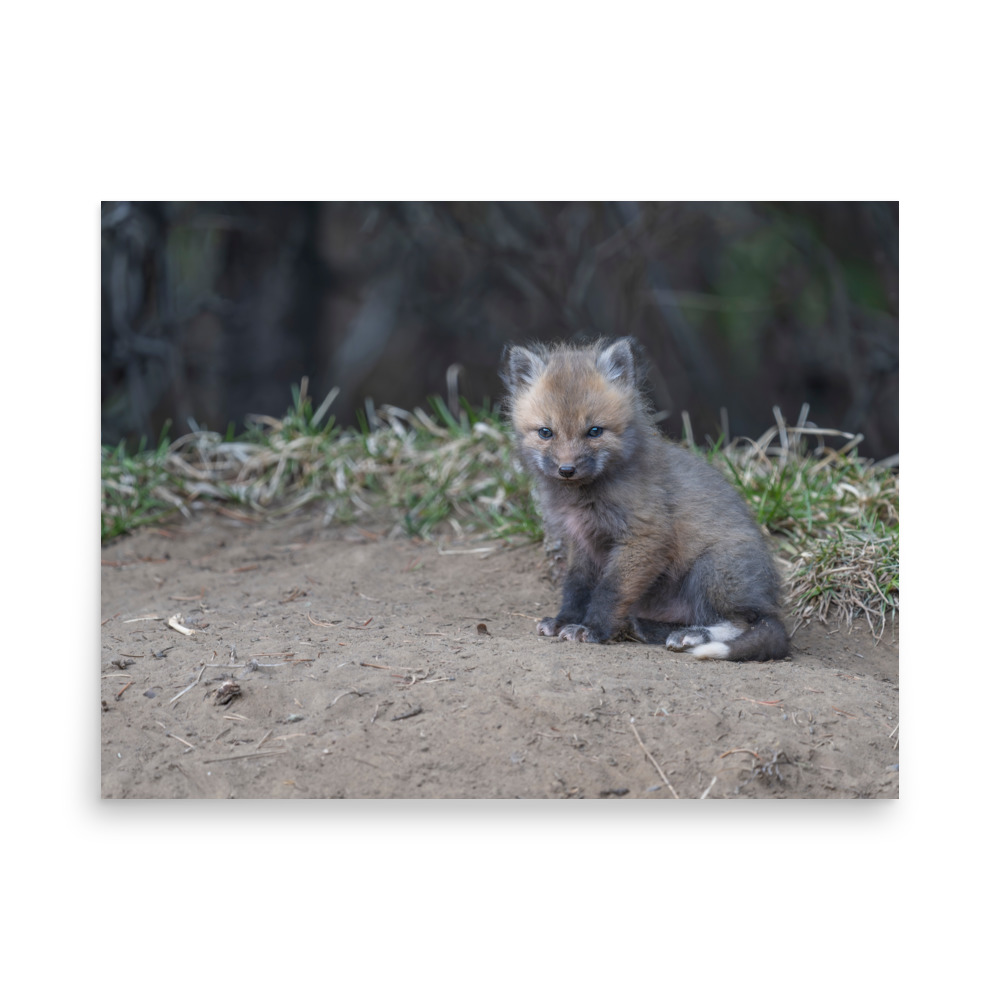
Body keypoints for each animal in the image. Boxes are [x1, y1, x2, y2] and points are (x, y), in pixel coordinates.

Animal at [501, 337, 789, 662]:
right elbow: (576, 587)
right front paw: (565, 620)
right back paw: (647, 628)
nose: (567, 469)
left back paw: (692, 635)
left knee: (742, 622)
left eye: (594, 431)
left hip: (711, 570)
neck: (585, 496)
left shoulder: (644, 536)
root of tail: (769, 600)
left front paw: (592, 629)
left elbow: (609, 591)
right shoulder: (582, 542)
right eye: (546, 432)